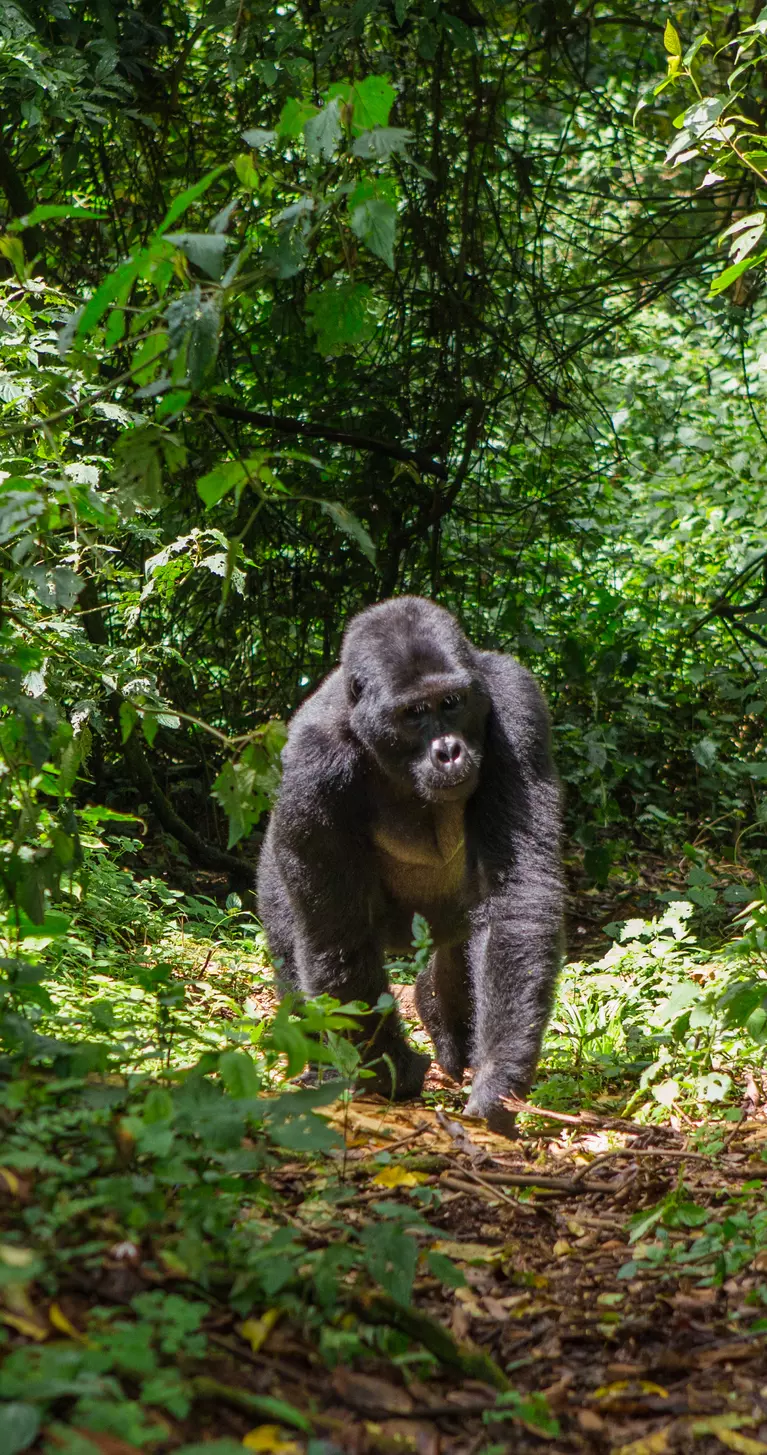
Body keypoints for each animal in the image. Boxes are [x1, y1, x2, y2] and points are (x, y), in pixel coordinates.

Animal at [256, 595, 563, 1137]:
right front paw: (390, 1074)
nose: (450, 751)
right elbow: (338, 935)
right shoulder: (312, 765)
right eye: (414, 713)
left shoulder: (516, 703)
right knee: (294, 943)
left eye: (452, 703)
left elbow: (516, 897)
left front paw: (498, 1078)